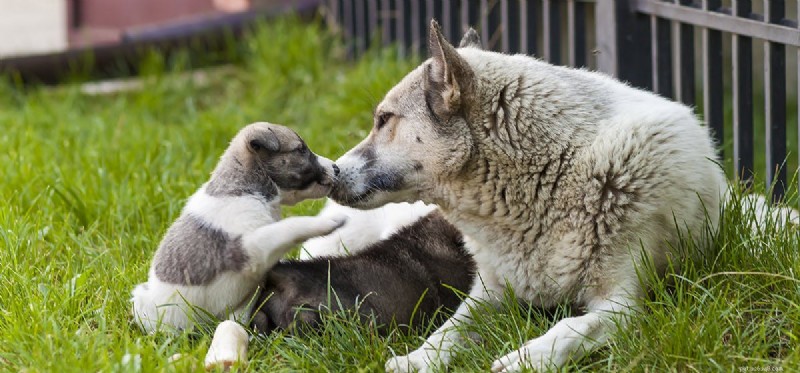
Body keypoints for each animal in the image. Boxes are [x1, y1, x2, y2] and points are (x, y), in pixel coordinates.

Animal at [130, 123, 346, 334]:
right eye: (300, 149)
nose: (336, 168)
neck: (249, 190)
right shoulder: (251, 247)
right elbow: (290, 226)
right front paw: (330, 221)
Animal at [328, 21, 792, 370]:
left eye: (384, 120)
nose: (330, 174)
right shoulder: (491, 293)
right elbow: (451, 329)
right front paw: (417, 358)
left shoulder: (624, 304)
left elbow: (572, 327)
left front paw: (528, 357)